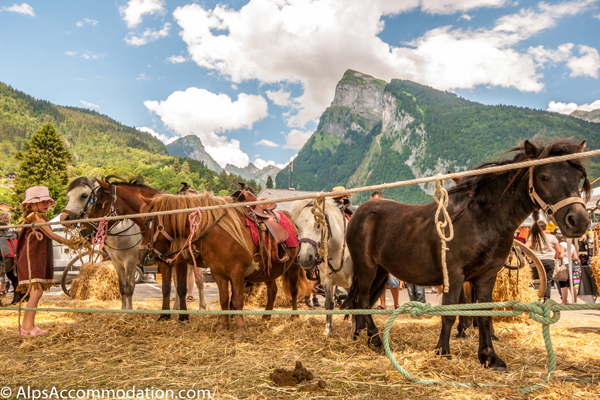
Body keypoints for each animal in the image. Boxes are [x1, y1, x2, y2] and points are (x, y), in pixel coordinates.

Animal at [61, 177, 206, 310]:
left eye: (84, 196)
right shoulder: (117, 262)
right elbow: (122, 288)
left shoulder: (131, 261)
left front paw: (129, 312)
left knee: (199, 281)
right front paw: (123, 311)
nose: (84, 231)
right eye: (69, 195)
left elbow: (130, 288)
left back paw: (201, 307)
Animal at [137, 192, 304, 340]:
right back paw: (266, 316)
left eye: (146, 222)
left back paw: (294, 317)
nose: (142, 255)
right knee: (272, 291)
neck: (220, 232)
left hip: (294, 267)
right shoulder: (218, 273)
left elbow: (237, 300)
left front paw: (240, 331)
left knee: (294, 291)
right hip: (268, 271)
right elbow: (224, 299)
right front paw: (224, 327)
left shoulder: (236, 272)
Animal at [290, 198, 352, 336]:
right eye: (297, 226)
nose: (305, 258)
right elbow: (329, 303)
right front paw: (328, 329)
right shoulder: (328, 280)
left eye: (318, 225)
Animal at [342, 139, 592, 370]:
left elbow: (484, 315)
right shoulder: (454, 276)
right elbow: (449, 313)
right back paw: (375, 338)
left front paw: (489, 356)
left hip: (381, 271)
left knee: (361, 300)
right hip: (367, 267)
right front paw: (443, 351)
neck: (481, 219)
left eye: (578, 178)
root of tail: (360, 212)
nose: (578, 220)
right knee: (362, 299)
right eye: (545, 177)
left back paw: (360, 334)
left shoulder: (486, 277)